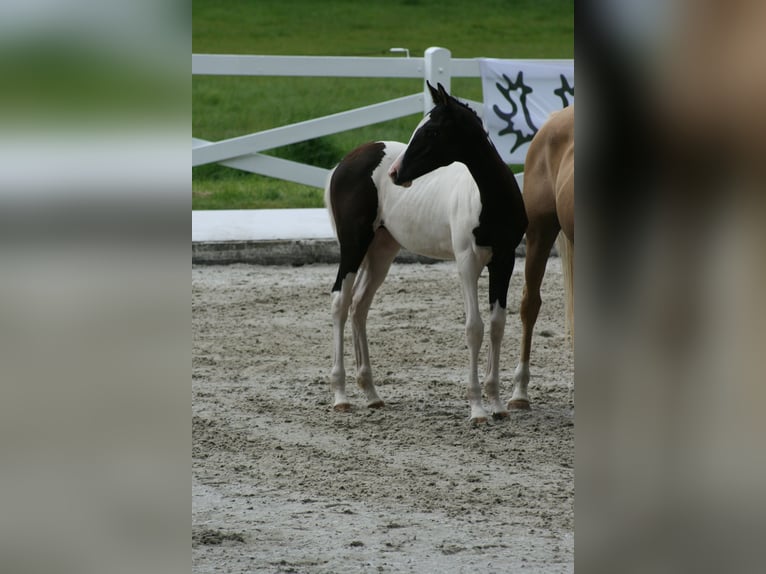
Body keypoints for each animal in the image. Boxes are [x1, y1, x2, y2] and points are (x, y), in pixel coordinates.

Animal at [328, 82, 532, 424]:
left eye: (433, 131)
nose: (396, 173)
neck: (490, 200)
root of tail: (346, 161)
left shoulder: (504, 261)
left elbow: (497, 325)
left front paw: (497, 404)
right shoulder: (467, 262)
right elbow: (474, 328)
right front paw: (477, 409)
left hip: (381, 251)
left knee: (359, 306)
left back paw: (371, 394)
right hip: (353, 246)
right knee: (340, 304)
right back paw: (341, 396)